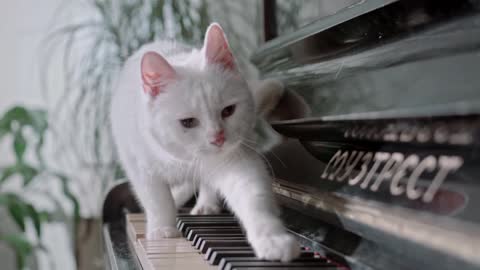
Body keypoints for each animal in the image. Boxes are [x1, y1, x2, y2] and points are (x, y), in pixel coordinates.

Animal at [110, 23, 300, 262]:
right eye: (188, 122)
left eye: (228, 111)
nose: (218, 138)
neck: (182, 160)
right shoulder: (140, 167)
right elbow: (157, 200)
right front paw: (162, 229)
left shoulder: (237, 162)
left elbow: (253, 197)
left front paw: (272, 238)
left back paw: (205, 204)